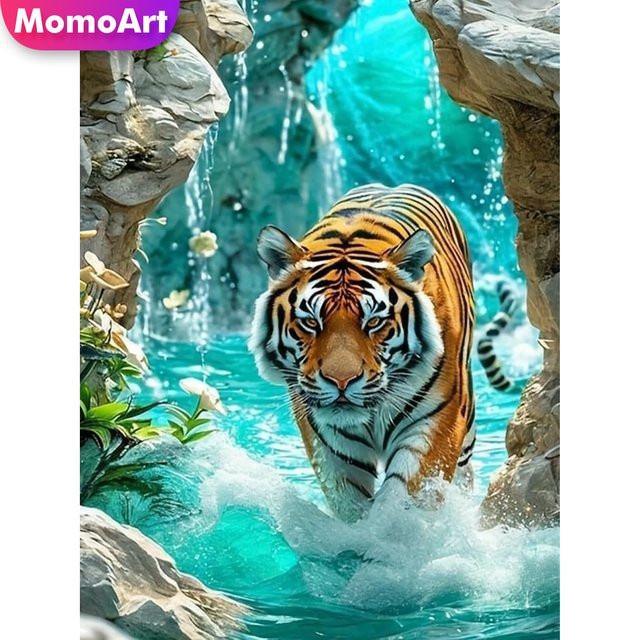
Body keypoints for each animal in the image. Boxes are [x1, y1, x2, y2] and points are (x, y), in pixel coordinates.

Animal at [249, 183, 514, 522]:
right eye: (310, 322)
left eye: (374, 321)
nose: (341, 382)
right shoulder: (327, 436)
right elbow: (349, 500)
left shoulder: (437, 421)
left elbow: (404, 497)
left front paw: (388, 531)